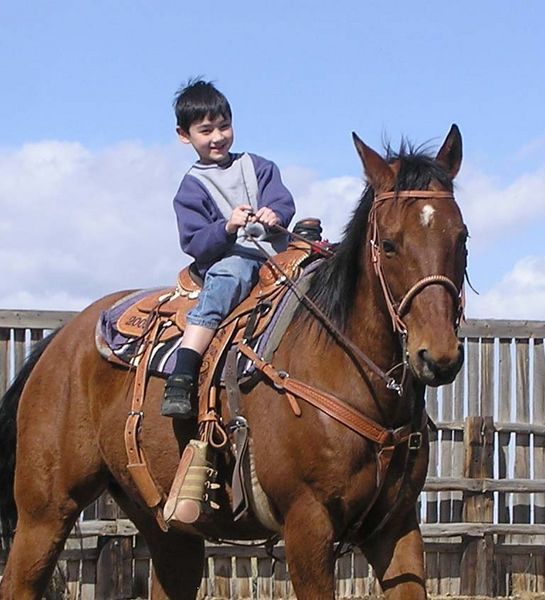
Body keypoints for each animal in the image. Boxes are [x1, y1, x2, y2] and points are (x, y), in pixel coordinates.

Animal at [1, 124, 468, 596]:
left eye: (461, 236)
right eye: (389, 245)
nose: (437, 355)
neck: (345, 367)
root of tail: (60, 341)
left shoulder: (396, 528)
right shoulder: (308, 524)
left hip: (167, 530)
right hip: (45, 513)